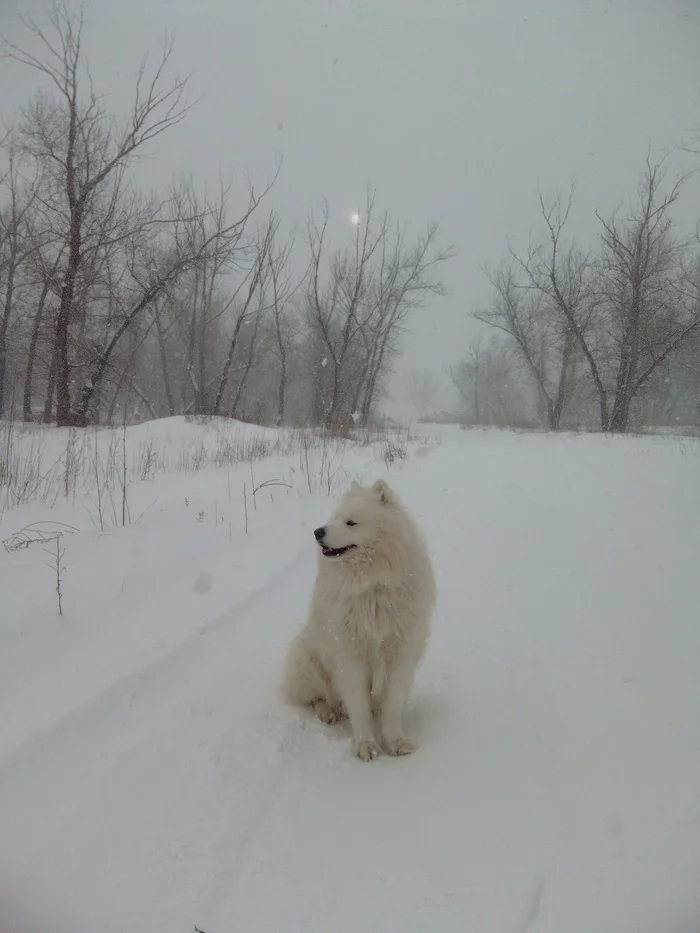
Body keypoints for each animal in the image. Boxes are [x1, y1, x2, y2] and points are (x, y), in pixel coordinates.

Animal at [282, 476, 434, 760]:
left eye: (351, 522)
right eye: (335, 518)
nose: (318, 532)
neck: (372, 584)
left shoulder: (401, 654)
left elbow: (392, 704)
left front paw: (395, 741)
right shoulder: (350, 656)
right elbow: (359, 705)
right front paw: (366, 745)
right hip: (307, 658)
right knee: (316, 698)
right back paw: (328, 712)